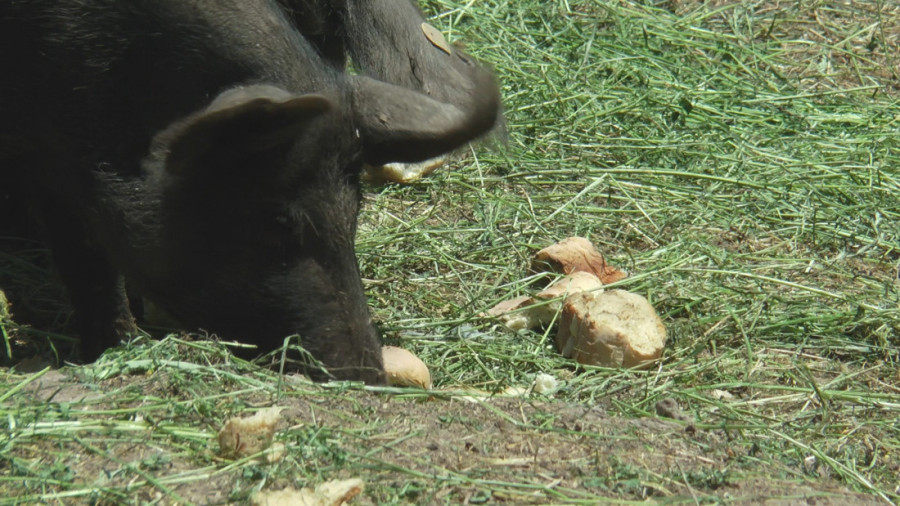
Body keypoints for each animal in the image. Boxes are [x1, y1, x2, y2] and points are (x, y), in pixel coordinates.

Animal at [0, 0, 500, 384]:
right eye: (275, 222)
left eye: (354, 212)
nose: (367, 376)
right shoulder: (52, 155)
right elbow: (88, 265)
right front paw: (119, 348)